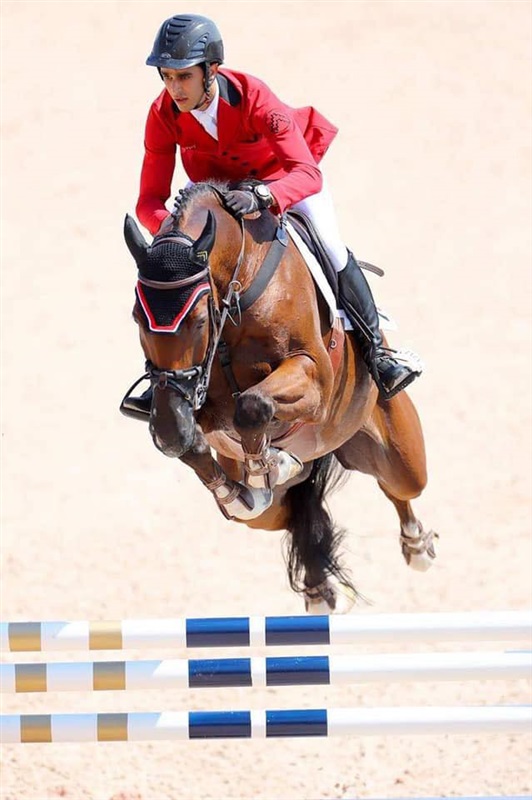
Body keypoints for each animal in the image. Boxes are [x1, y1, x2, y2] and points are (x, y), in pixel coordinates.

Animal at [123, 183, 436, 612]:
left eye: (199, 321)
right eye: (138, 318)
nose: (170, 429)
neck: (241, 283)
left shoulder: (314, 379)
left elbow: (253, 406)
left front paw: (263, 466)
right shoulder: (197, 403)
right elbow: (206, 436)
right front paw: (239, 482)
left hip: (399, 457)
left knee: (399, 489)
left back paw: (417, 545)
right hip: (265, 515)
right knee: (289, 513)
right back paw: (315, 580)